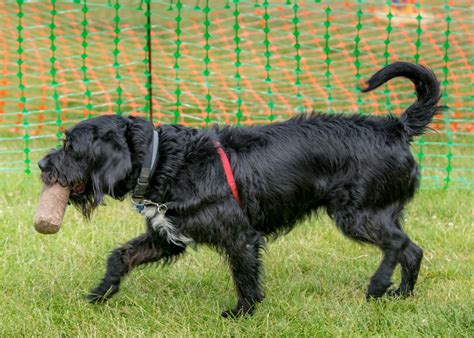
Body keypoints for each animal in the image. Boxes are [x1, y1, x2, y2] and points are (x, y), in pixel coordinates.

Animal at [39, 62, 442, 316]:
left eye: (70, 146)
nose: (42, 165)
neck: (164, 160)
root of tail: (395, 128)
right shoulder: (166, 236)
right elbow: (119, 257)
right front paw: (99, 293)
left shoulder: (240, 237)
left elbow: (245, 278)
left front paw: (242, 314)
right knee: (414, 250)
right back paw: (402, 294)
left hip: (356, 214)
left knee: (397, 245)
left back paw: (378, 285)